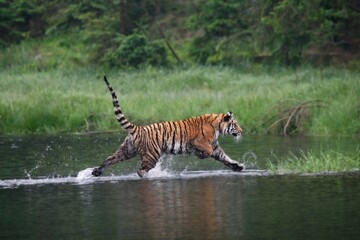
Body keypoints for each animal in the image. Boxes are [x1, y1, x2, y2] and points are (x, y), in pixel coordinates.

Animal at [91, 76, 246, 177]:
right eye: (235, 124)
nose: (241, 131)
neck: (218, 126)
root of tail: (138, 128)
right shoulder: (200, 142)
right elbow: (207, 152)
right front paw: (199, 155)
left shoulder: (215, 147)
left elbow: (225, 158)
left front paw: (237, 167)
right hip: (151, 155)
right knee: (140, 170)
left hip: (127, 150)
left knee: (110, 158)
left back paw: (96, 172)